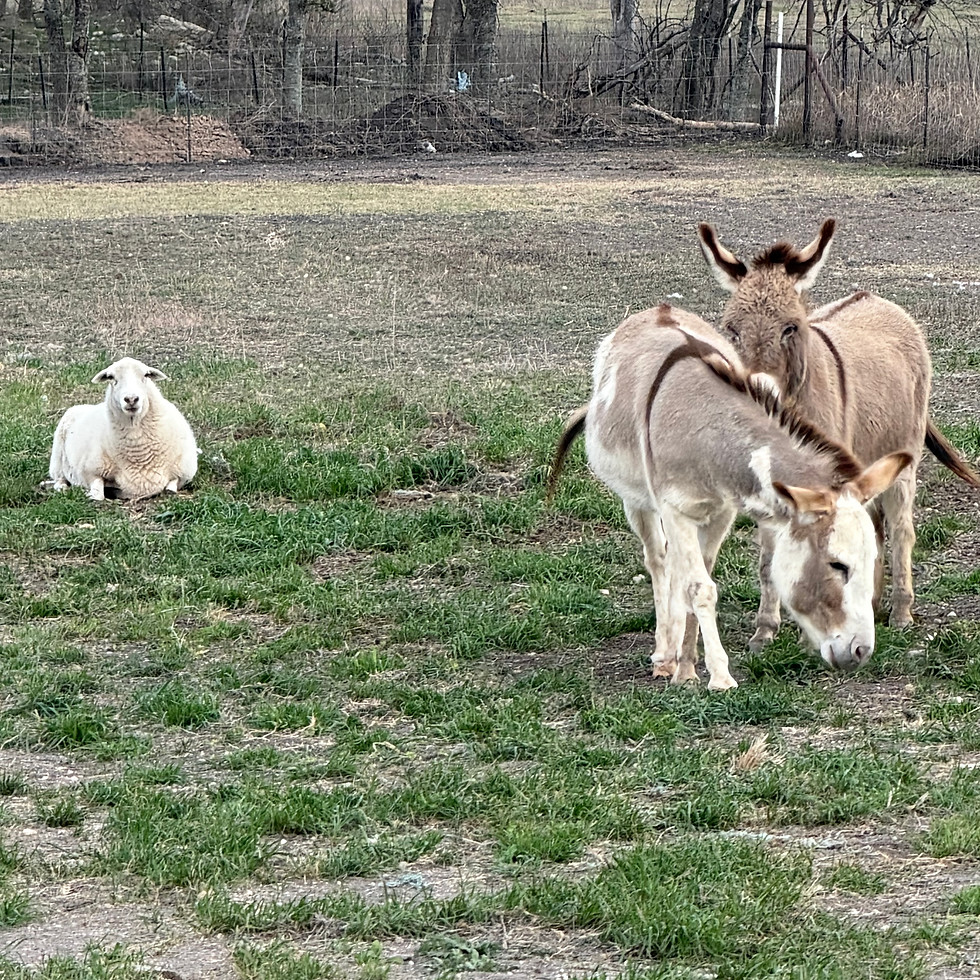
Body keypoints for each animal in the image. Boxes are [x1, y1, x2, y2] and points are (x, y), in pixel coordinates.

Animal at [49, 356, 198, 501]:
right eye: (111, 377)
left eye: (146, 375)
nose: (131, 399)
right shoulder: (89, 471)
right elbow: (98, 496)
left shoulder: (184, 473)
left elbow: (171, 488)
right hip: (57, 460)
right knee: (59, 478)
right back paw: (62, 488)